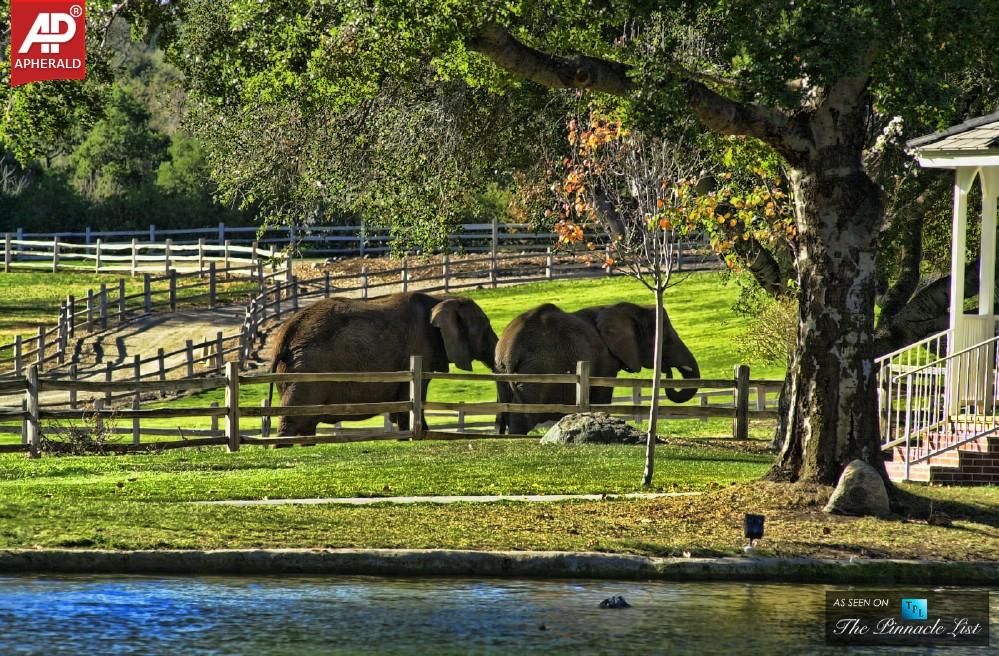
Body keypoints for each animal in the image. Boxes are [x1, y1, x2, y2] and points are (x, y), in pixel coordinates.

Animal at [268, 292, 498, 436]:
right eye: (485, 330)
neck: (441, 299)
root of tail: (284, 333)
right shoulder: (418, 349)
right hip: (306, 370)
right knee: (294, 421)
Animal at [494, 302, 700, 436]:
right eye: (666, 339)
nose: (667, 370)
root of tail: (508, 349)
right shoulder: (605, 359)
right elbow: (602, 395)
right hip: (536, 374)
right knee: (521, 419)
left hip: (500, 372)